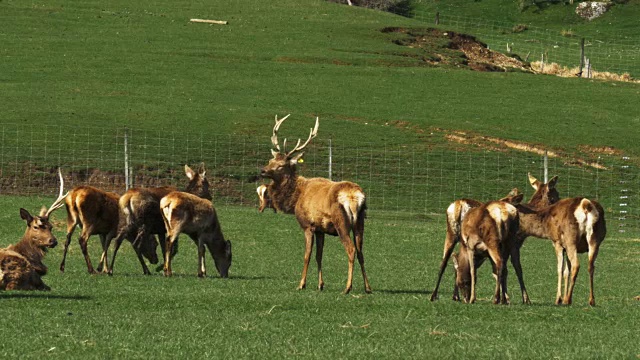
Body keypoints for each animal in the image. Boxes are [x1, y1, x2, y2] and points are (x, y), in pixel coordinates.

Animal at [258, 114, 370, 294]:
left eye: (281, 165)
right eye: (270, 160)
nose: (263, 170)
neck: (296, 197)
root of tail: (354, 197)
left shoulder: (307, 225)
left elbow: (307, 255)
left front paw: (301, 284)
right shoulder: (320, 229)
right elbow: (319, 255)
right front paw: (320, 284)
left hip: (341, 222)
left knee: (351, 249)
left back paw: (347, 287)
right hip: (360, 221)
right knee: (361, 252)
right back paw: (367, 287)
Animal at [430, 173, 560, 302]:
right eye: (555, 196)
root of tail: (459, 205)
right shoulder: (514, 242)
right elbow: (509, 268)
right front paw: (511, 298)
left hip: (451, 234)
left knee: (445, 262)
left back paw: (441, 295)